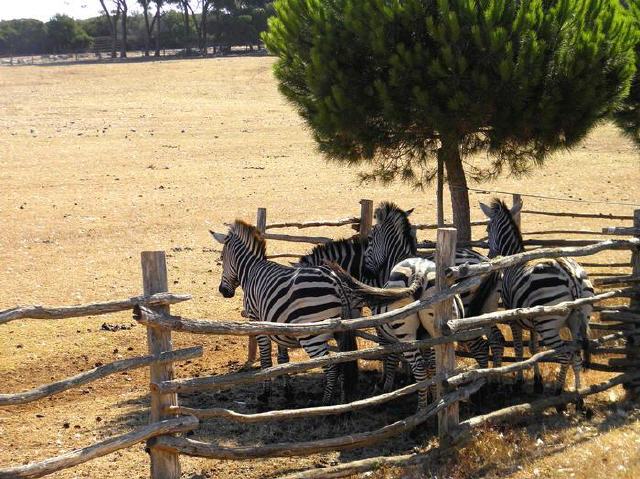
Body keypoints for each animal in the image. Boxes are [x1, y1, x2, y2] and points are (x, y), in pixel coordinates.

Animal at [211, 220, 424, 404]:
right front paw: (288, 391)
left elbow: (265, 360)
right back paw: (343, 400)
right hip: (339, 331)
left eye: (221, 258)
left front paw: (265, 394)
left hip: (312, 335)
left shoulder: (258, 321)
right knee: (343, 362)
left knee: (331, 366)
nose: (223, 291)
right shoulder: (277, 322)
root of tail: (336, 281)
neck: (251, 270)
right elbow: (283, 359)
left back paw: (327, 403)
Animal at [478, 198, 592, 402]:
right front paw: (537, 383)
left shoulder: (513, 317)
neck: (514, 258)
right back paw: (579, 397)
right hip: (577, 320)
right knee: (576, 353)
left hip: (548, 325)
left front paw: (519, 382)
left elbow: (518, 348)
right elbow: (533, 349)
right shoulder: (531, 320)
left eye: (487, 228)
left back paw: (558, 394)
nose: (489, 257)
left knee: (565, 355)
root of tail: (568, 272)